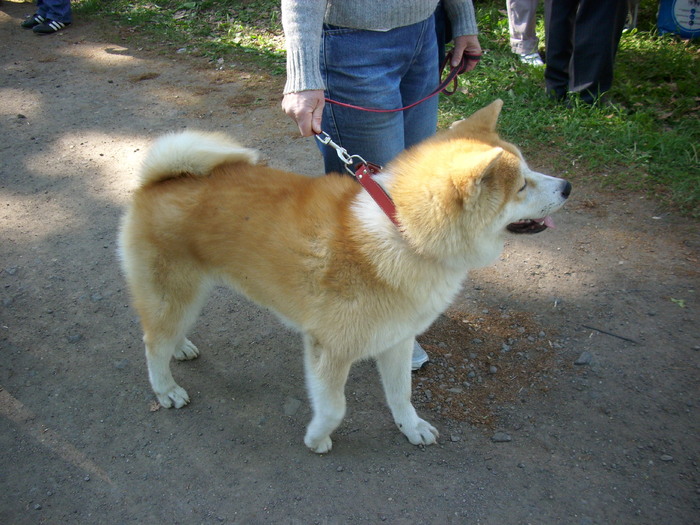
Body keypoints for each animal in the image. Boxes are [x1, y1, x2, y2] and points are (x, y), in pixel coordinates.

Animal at [119, 100, 568, 452]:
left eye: (530, 169)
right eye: (522, 186)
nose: (566, 186)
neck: (403, 232)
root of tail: (160, 180)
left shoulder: (397, 339)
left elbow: (402, 395)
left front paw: (411, 427)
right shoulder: (329, 347)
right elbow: (335, 407)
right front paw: (317, 438)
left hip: (185, 294)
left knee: (164, 333)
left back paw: (180, 347)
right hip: (175, 291)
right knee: (151, 342)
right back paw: (166, 389)